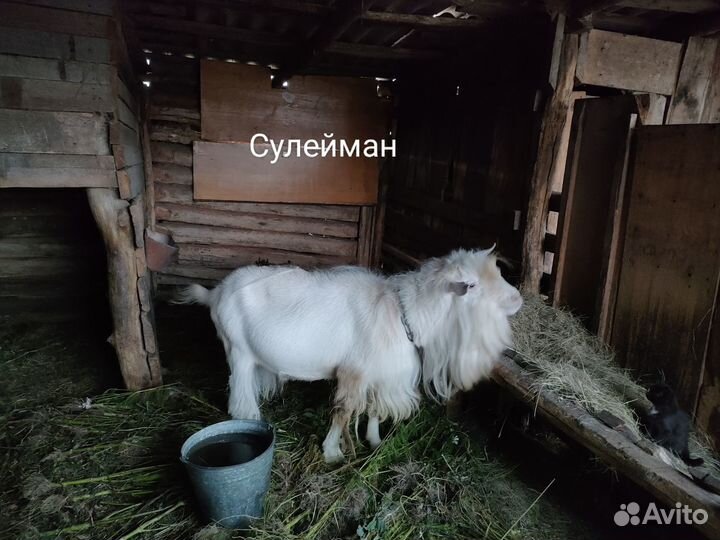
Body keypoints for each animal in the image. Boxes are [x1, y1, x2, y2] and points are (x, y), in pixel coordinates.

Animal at [178, 247, 522, 463]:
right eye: (472, 285)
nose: (518, 298)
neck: (404, 313)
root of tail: (214, 293)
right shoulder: (353, 373)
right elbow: (343, 412)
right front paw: (333, 453)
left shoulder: (379, 373)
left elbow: (374, 410)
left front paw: (375, 440)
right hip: (238, 352)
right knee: (239, 395)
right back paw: (250, 419)